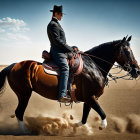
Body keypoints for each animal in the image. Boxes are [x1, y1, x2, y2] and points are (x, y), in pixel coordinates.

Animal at [0, 35, 139, 133]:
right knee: (19, 112)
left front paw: (72, 125)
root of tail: (14, 65)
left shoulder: (89, 99)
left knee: (19, 112)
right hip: (24, 94)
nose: (137, 70)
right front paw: (102, 125)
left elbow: (84, 118)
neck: (93, 66)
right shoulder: (90, 97)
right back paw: (25, 132)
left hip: (23, 94)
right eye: (127, 51)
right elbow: (102, 113)